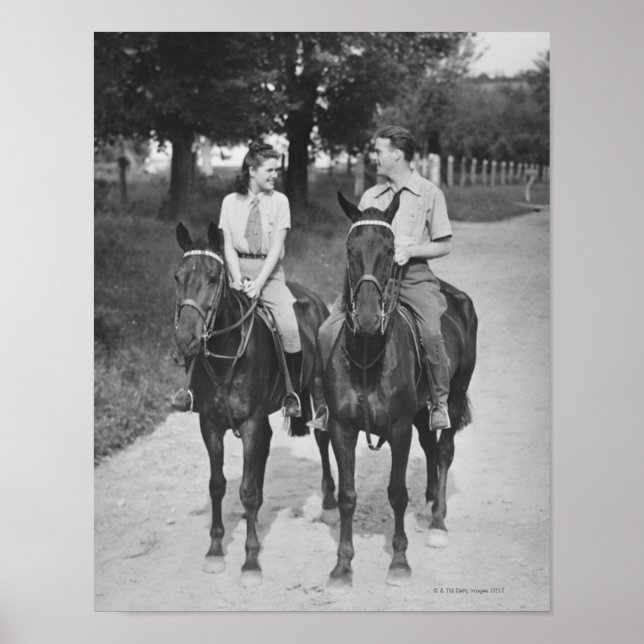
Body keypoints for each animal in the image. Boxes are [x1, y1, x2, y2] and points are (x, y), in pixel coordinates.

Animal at [173, 222, 337, 586]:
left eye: (214, 278)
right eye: (178, 277)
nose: (185, 340)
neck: (227, 353)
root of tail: (316, 300)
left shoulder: (249, 423)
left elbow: (246, 490)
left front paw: (250, 561)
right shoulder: (211, 425)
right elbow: (217, 485)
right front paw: (215, 550)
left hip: (316, 391)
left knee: (322, 439)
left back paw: (330, 503)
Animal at [323, 192, 478, 591]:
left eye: (391, 250)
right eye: (350, 248)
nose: (365, 318)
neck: (367, 355)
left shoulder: (398, 429)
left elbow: (396, 493)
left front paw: (399, 562)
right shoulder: (342, 428)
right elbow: (347, 496)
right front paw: (342, 566)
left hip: (452, 399)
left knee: (444, 451)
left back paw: (438, 521)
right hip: (423, 412)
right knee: (432, 447)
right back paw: (429, 506)